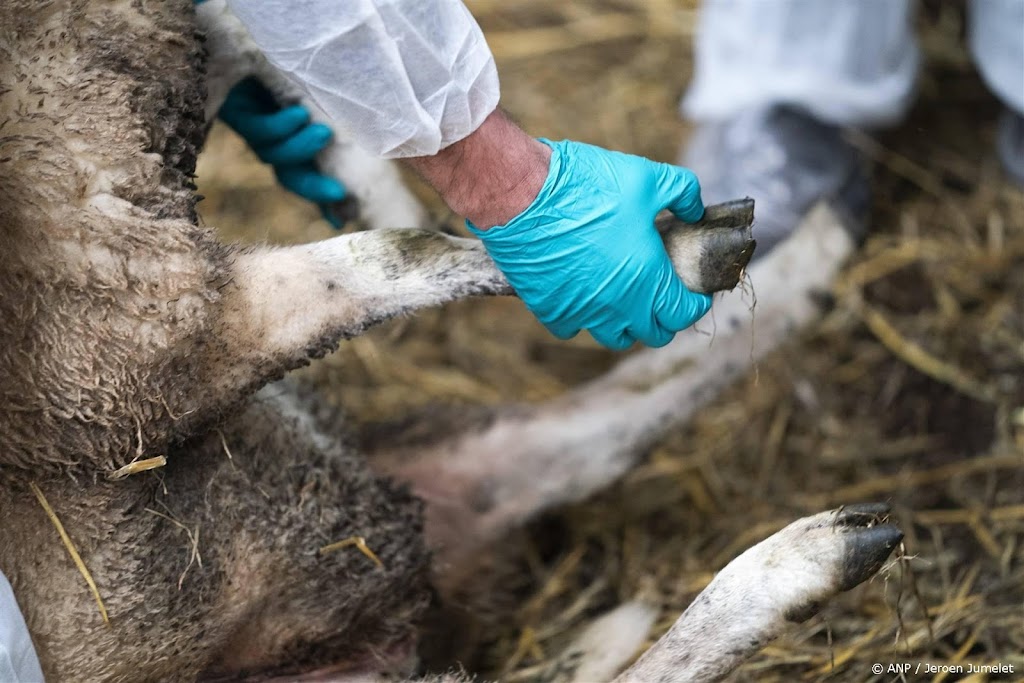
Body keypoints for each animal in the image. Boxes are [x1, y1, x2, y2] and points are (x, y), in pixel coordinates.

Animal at [0, 2, 897, 679]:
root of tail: (427, 574)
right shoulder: (132, 338)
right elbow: (400, 251)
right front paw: (618, 245)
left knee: (592, 440)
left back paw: (821, 255)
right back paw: (810, 551)